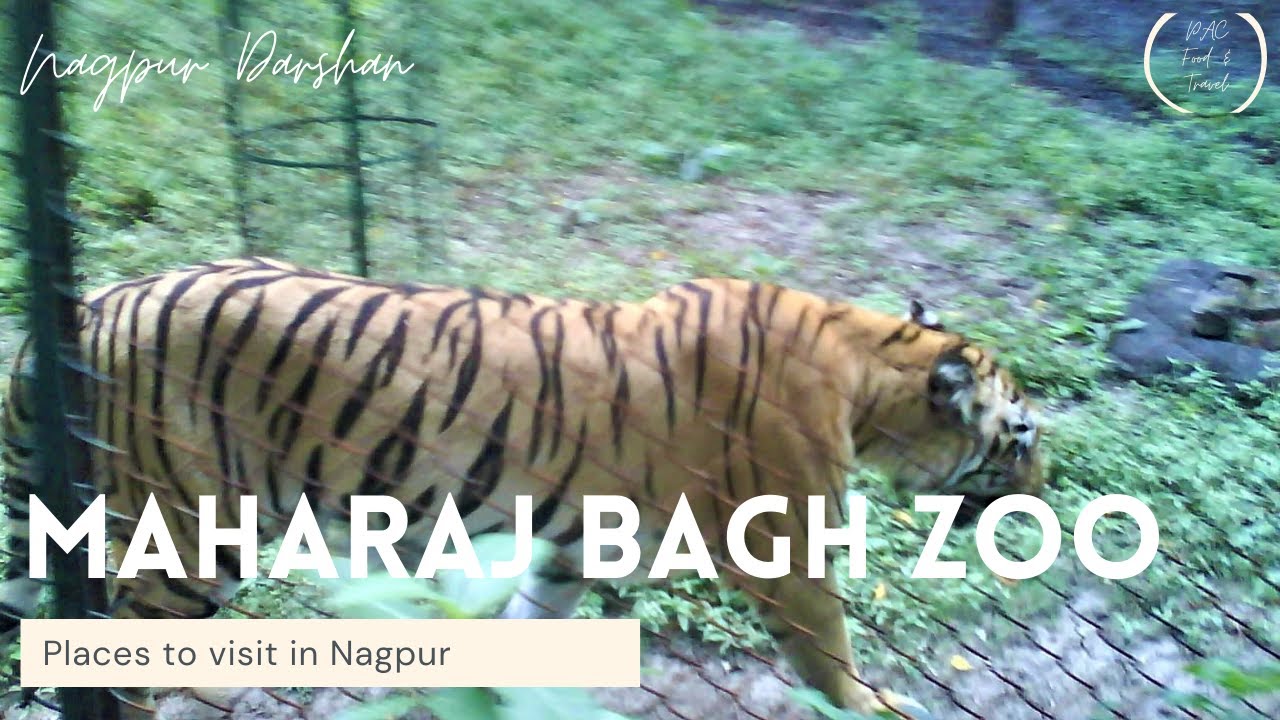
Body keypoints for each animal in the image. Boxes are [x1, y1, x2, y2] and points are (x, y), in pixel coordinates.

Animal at [0, 257, 1044, 719]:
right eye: (1023, 434)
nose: (1046, 486)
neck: (865, 367)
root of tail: (94, 304)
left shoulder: (565, 551)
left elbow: (517, 636)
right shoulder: (783, 554)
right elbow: (831, 654)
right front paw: (874, 708)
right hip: (186, 531)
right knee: (113, 661)